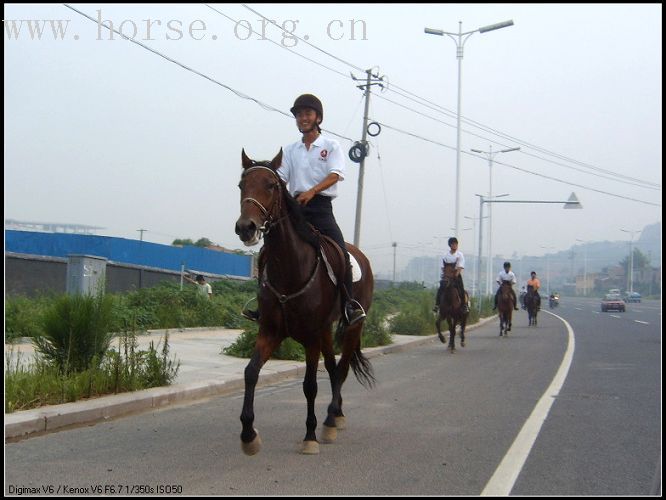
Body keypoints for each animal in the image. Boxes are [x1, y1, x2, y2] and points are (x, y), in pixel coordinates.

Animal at [232, 146, 374, 456]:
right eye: (241, 185)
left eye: (271, 186)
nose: (246, 227)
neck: (290, 267)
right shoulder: (271, 331)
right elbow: (250, 373)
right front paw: (248, 435)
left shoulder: (310, 336)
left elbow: (310, 385)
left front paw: (310, 436)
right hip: (326, 331)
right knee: (333, 369)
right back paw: (335, 415)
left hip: (351, 327)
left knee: (342, 369)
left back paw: (331, 420)